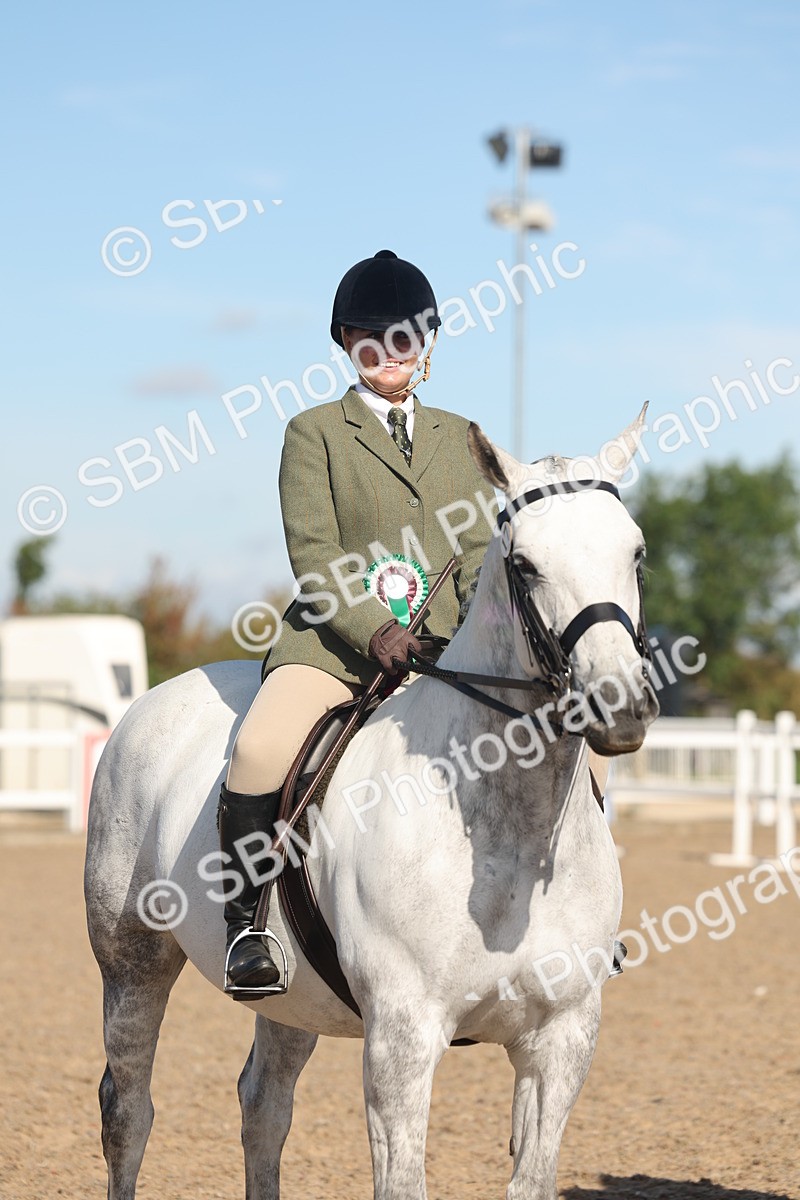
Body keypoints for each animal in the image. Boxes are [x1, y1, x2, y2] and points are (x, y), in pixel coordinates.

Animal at [84, 411, 658, 1200]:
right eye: (526, 565)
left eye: (636, 553)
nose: (620, 706)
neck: (503, 835)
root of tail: (153, 700)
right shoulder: (401, 1040)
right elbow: (400, 1180)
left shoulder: (562, 1039)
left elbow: (532, 1177)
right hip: (131, 959)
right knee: (129, 1108)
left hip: (291, 996)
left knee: (264, 1104)